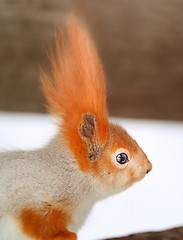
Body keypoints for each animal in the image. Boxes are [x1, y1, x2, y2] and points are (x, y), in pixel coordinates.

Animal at [0, 16, 152, 240]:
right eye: (122, 157)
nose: (149, 168)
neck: (69, 173)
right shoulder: (33, 199)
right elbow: (37, 224)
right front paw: (64, 235)